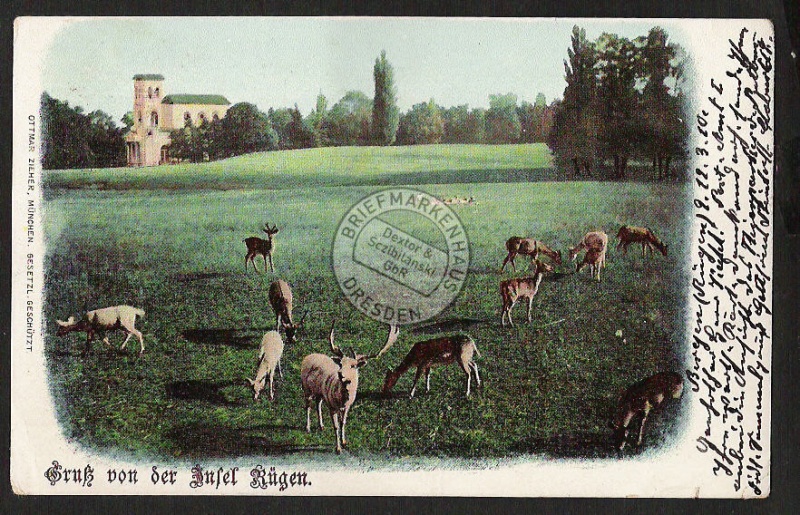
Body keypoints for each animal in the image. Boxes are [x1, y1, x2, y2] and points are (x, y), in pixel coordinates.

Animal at [300, 324, 400, 454]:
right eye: (341, 364)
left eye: (353, 365)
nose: (340, 374)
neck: (342, 400)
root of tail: (307, 356)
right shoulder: (332, 406)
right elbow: (336, 426)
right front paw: (338, 449)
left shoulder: (347, 406)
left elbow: (343, 423)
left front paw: (344, 442)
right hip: (306, 387)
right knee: (308, 405)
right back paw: (308, 427)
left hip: (320, 391)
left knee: (318, 402)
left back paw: (321, 426)